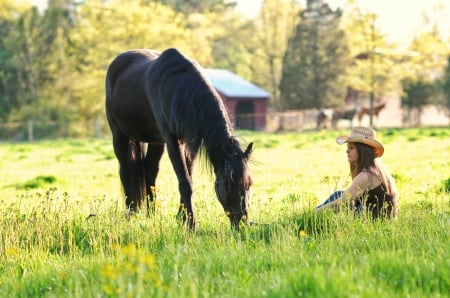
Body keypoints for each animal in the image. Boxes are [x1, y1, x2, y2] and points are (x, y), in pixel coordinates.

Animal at [104, 49, 253, 230]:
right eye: (226, 184)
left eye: (249, 183)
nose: (241, 222)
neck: (179, 88)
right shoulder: (172, 140)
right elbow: (185, 182)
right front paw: (191, 225)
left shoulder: (191, 144)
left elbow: (188, 176)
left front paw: (181, 218)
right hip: (120, 136)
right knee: (126, 170)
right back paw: (131, 213)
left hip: (155, 141)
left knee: (150, 171)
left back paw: (151, 214)